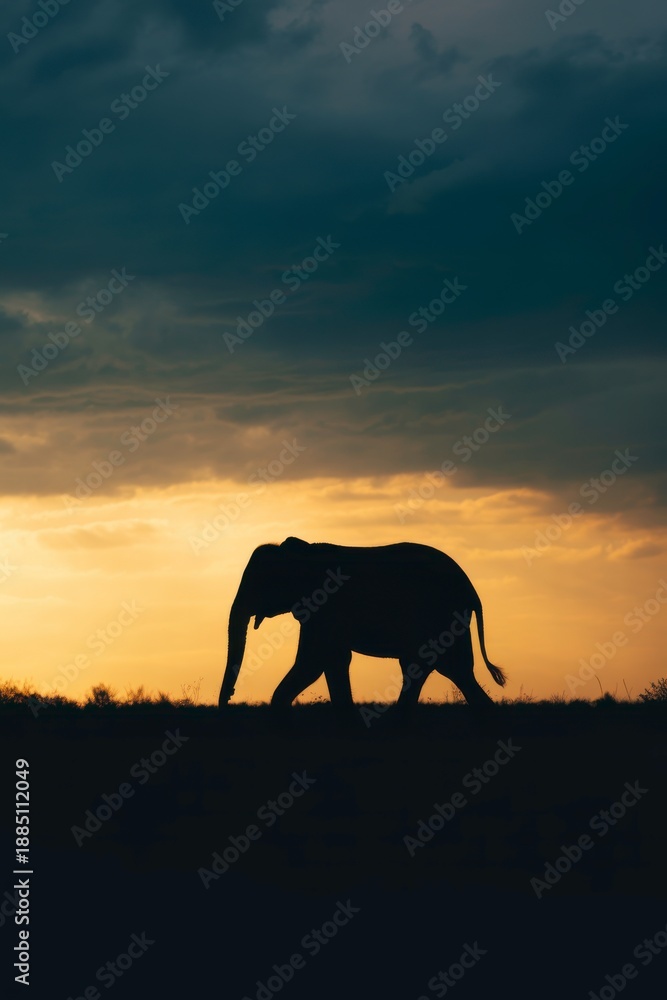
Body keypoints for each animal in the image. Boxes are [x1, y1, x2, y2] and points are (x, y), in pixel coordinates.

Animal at [218, 536, 506, 715]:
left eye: (259, 584)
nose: (229, 699)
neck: (302, 552)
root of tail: (471, 591)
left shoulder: (324, 606)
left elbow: (313, 662)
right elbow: (332, 660)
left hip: (440, 616)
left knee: (444, 667)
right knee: (444, 670)